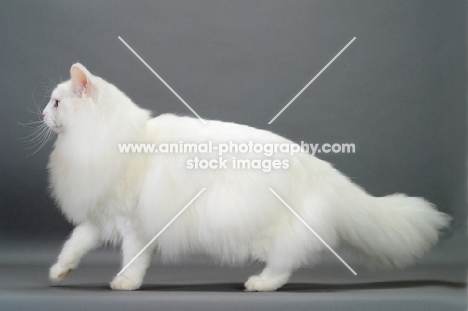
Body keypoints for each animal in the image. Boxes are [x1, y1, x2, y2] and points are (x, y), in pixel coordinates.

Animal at [43, 63, 450, 292]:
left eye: (57, 102)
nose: (42, 113)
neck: (109, 138)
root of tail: (320, 169)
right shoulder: (98, 218)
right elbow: (74, 245)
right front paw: (59, 271)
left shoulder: (135, 225)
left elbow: (131, 259)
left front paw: (126, 284)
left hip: (266, 231)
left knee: (286, 261)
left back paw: (261, 284)